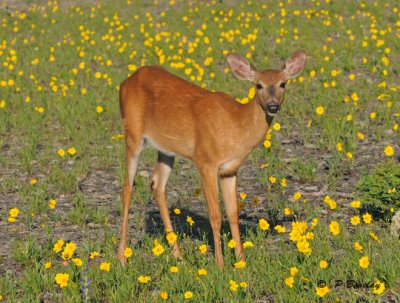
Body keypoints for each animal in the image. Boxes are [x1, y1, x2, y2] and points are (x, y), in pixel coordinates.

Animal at [117, 51, 308, 268]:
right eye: (258, 85)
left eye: (283, 83)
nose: (272, 106)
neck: (237, 126)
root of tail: (125, 82)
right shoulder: (206, 161)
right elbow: (215, 215)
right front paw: (220, 264)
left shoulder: (230, 169)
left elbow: (232, 214)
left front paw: (241, 262)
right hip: (133, 135)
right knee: (128, 188)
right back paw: (122, 257)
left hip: (166, 150)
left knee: (157, 184)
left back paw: (178, 256)